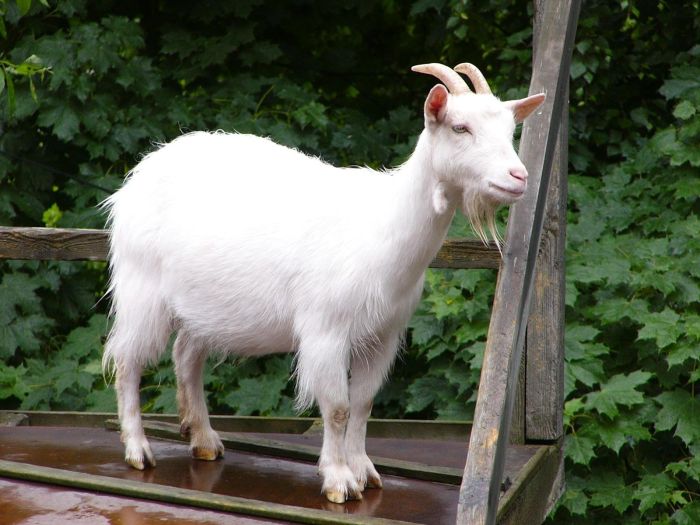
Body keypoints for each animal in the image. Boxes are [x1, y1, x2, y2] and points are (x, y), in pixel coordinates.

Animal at [102, 62, 544, 504]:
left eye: (510, 130)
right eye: (459, 127)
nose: (518, 176)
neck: (384, 226)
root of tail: (140, 174)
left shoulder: (383, 335)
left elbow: (363, 403)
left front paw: (364, 470)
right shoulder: (326, 330)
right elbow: (337, 407)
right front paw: (338, 480)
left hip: (203, 306)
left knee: (186, 356)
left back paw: (204, 439)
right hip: (141, 289)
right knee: (127, 360)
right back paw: (138, 449)